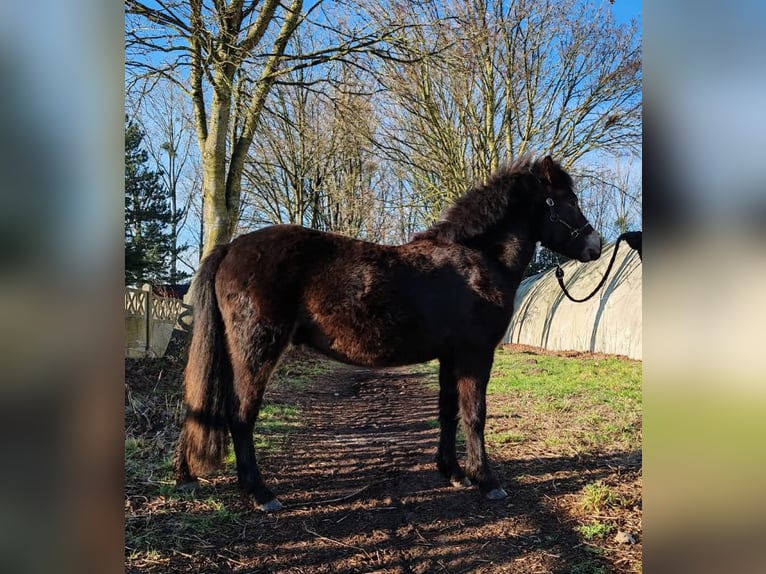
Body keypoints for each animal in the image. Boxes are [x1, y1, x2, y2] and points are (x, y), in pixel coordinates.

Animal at [176, 156, 608, 512]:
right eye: (566, 201)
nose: (596, 245)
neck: (477, 261)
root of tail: (231, 248)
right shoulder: (475, 353)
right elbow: (475, 414)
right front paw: (486, 480)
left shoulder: (450, 355)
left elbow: (448, 411)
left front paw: (452, 471)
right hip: (256, 351)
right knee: (241, 415)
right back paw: (260, 493)